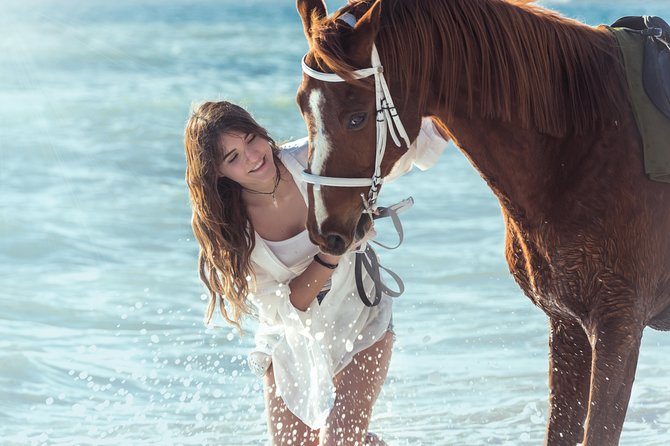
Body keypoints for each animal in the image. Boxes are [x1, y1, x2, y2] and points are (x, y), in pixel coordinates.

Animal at [294, 0, 670, 444]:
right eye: (302, 105)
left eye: (356, 118)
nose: (325, 229)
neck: (587, 144)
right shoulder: (568, 326)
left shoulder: (618, 328)